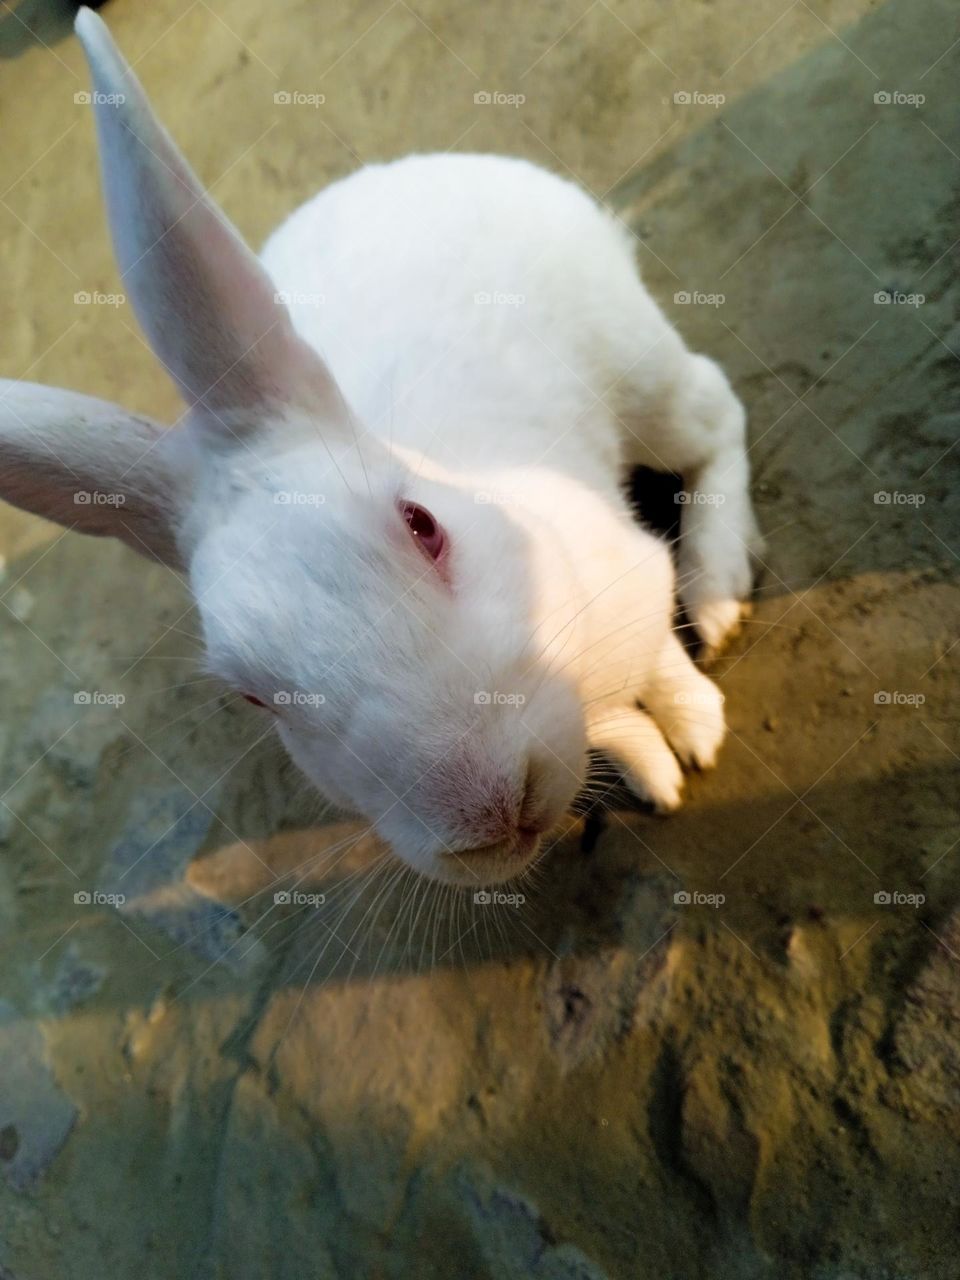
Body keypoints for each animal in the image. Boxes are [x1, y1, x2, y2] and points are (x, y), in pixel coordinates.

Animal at [0, 9, 761, 887]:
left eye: (423, 525)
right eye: (254, 698)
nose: (490, 811)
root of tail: (415, 169)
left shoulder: (629, 580)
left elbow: (660, 661)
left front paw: (695, 736)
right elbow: (612, 722)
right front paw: (652, 766)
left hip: (643, 377)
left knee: (715, 414)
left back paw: (717, 593)